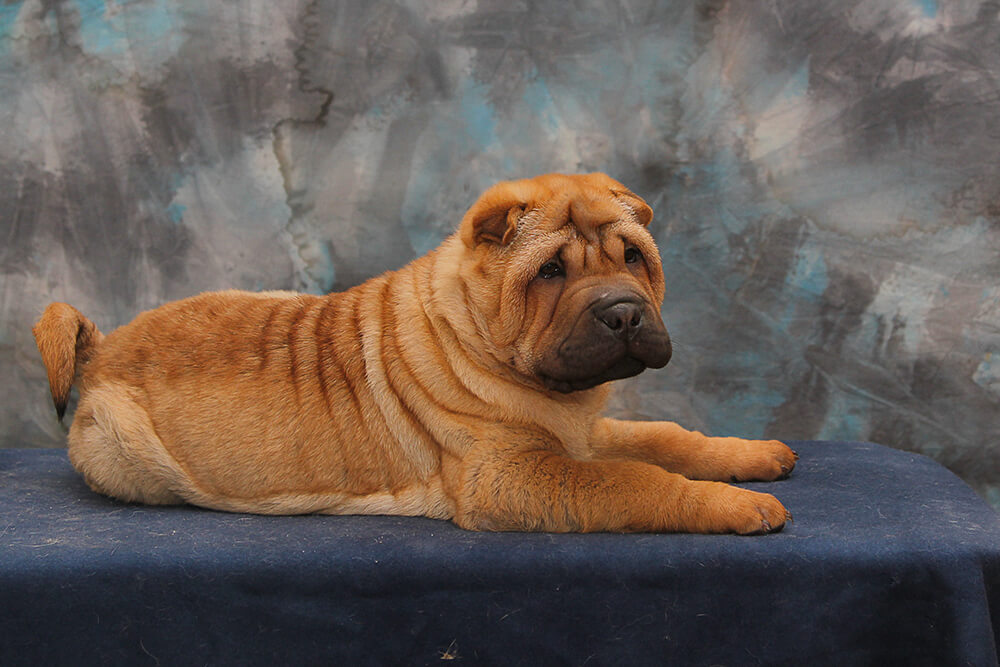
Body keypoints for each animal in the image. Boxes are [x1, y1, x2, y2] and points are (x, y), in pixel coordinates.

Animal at [34, 173, 795, 533]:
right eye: (551, 272)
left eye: (633, 256)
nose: (624, 311)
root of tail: (103, 345)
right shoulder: (509, 474)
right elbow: (634, 480)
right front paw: (735, 505)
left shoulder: (584, 431)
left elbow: (667, 437)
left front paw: (752, 455)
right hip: (123, 451)